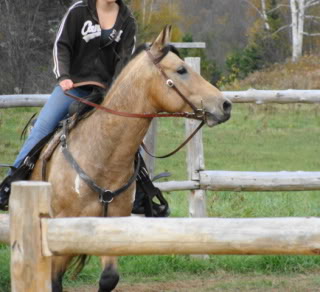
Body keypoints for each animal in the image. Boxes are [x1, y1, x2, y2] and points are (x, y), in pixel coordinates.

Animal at [28, 26, 231, 290]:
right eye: (181, 70)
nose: (225, 105)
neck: (102, 155)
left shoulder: (111, 225)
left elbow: (109, 278)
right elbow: (53, 282)